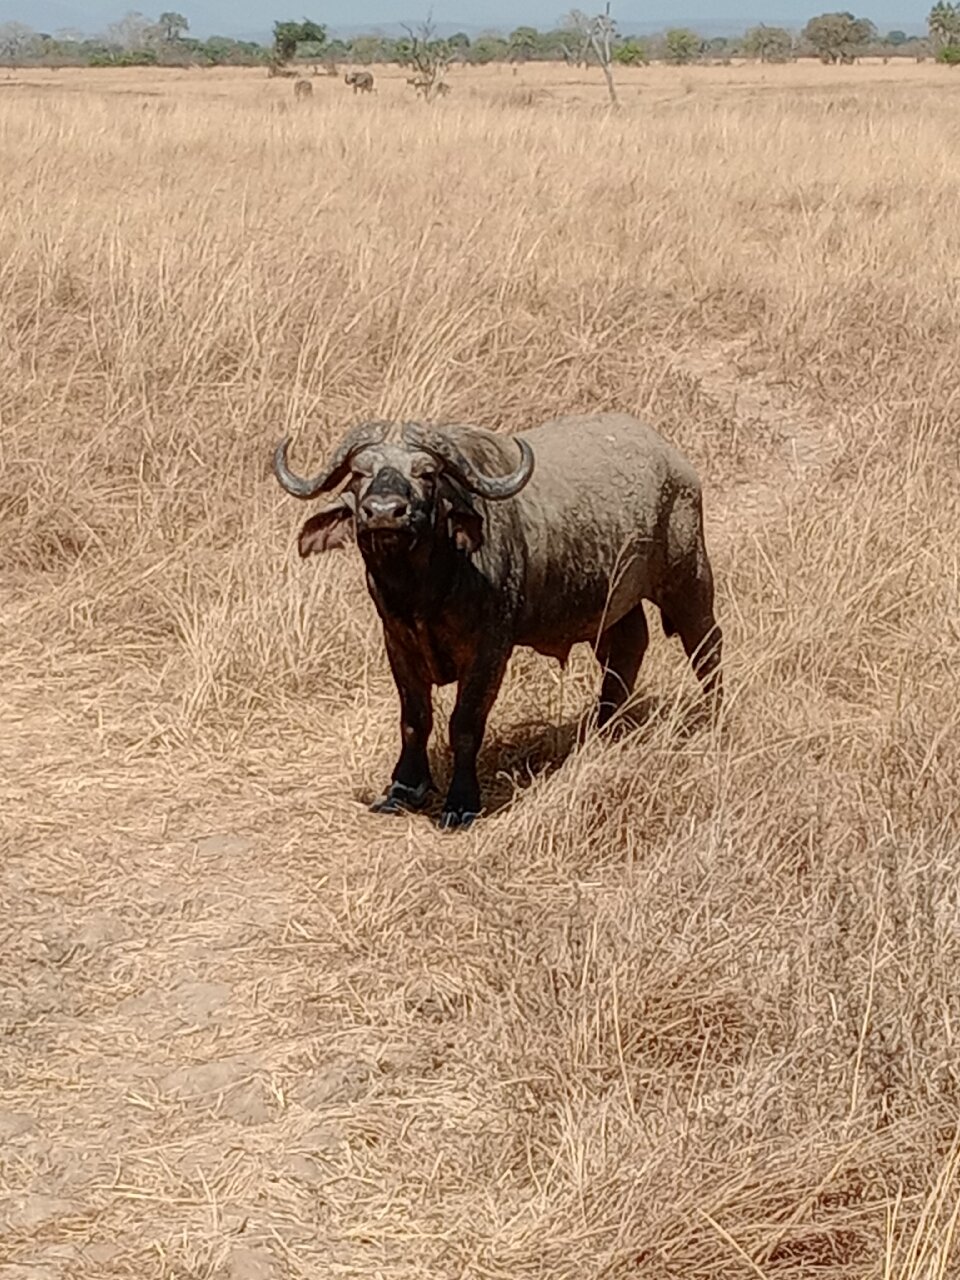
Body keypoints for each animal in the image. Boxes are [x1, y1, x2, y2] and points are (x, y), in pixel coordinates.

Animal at [273, 414, 722, 829]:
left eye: (426, 473)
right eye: (360, 472)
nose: (384, 512)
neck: (425, 592)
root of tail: (675, 462)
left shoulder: (490, 650)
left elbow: (464, 723)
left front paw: (461, 802)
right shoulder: (397, 641)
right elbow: (414, 719)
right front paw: (404, 787)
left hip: (688, 577)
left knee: (706, 646)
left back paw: (712, 715)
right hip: (613, 607)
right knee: (628, 650)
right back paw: (605, 728)